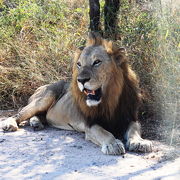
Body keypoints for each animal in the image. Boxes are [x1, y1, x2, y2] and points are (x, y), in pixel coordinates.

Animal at [2, 32, 152, 155]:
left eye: (97, 62)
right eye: (79, 64)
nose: (81, 80)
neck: (110, 99)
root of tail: (41, 86)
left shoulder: (129, 117)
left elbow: (134, 129)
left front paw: (139, 142)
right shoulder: (90, 124)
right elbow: (104, 133)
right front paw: (113, 144)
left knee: (39, 115)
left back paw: (36, 123)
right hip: (45, 98)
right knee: (19, 113)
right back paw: (9, 124)